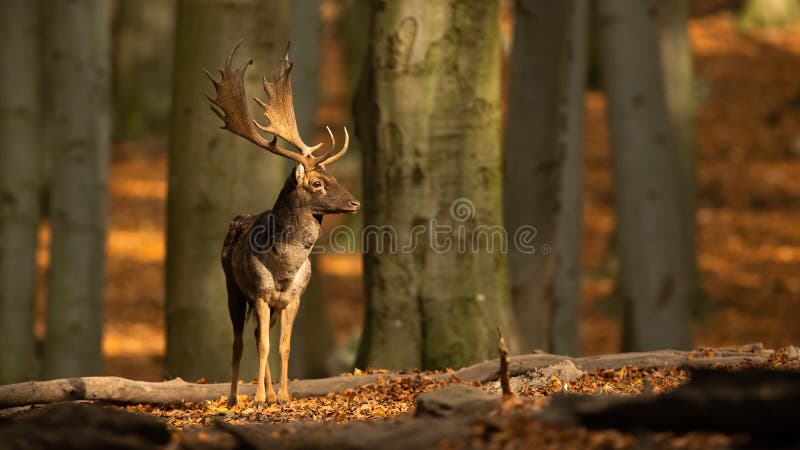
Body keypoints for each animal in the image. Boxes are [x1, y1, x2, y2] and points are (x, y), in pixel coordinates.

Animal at [206, 42, 360, 406]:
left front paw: (285, 396)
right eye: (317, 183)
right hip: (233, 288)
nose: (354, 203)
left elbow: (284, 346)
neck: (284, 266)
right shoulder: (261, 292)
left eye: (334, 177)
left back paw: (272, 393)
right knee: (240, 341)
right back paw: (235, 398)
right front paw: (259, 398)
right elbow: (262, 345)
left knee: (258, 334)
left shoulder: (293, 297)